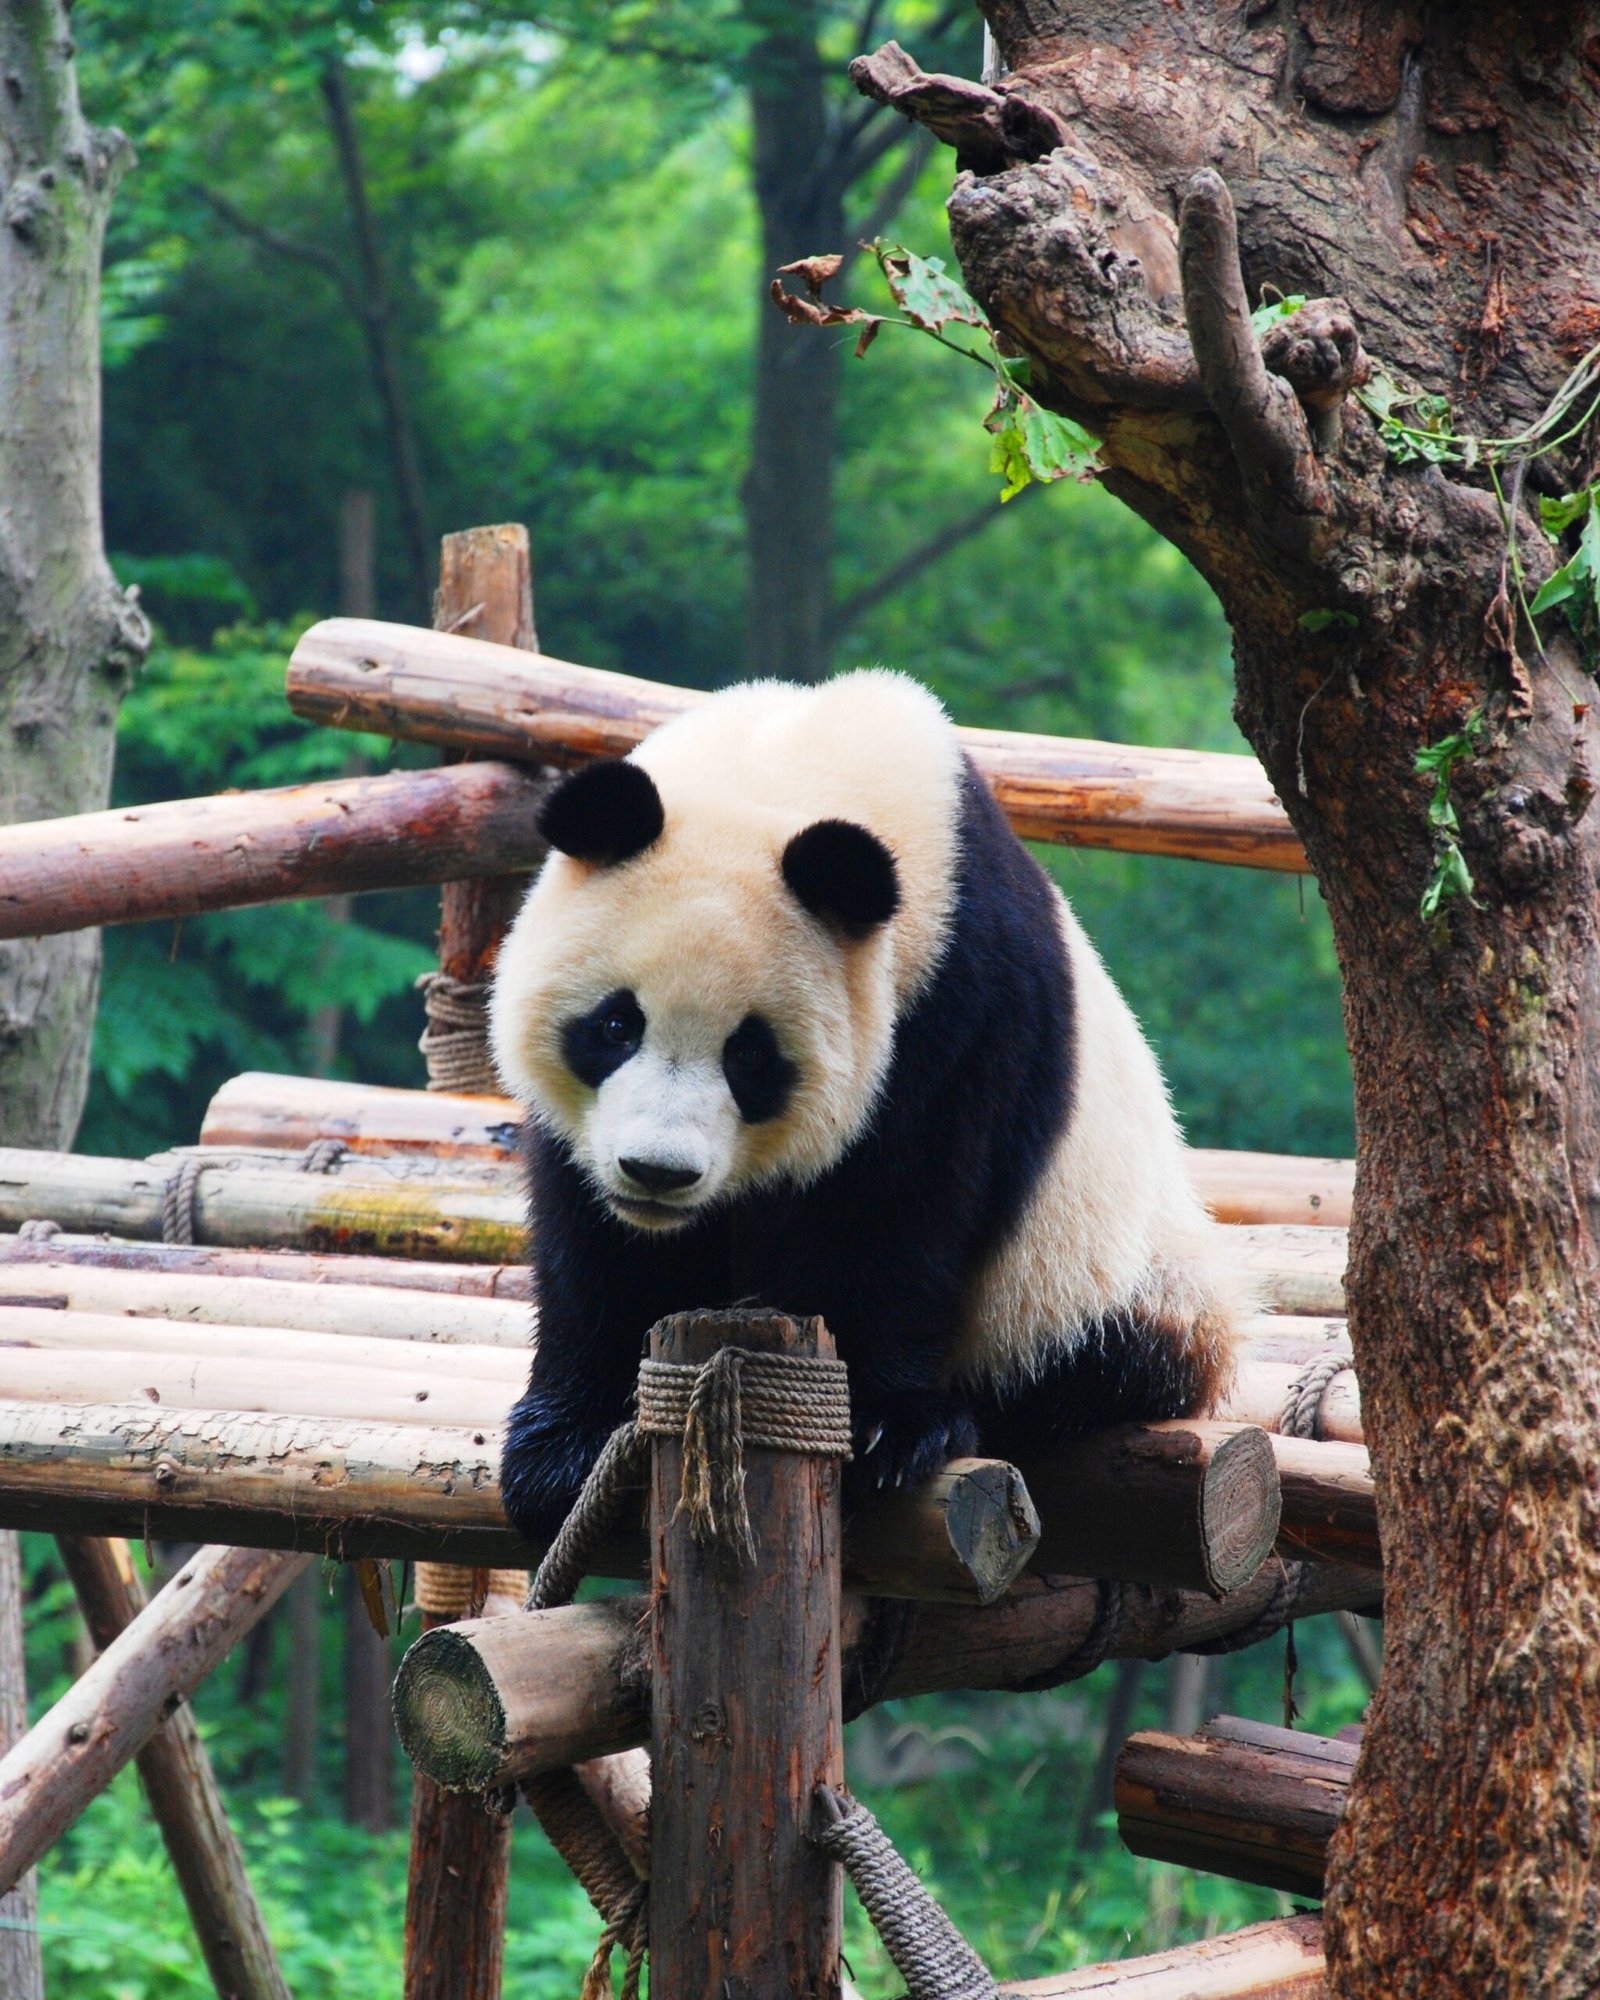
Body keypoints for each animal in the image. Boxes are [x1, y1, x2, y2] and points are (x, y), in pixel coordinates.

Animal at [488, 669, 1247, 1548]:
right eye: (616, 1025)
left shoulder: (958, 1000)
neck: (795, 763)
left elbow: (899, 1207)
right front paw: (559, 1452)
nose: (658, 1172)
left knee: (1101, 1355)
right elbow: (593, 1238)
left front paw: (882, 1431)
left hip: (1104, 1275)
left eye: (750, 1056)